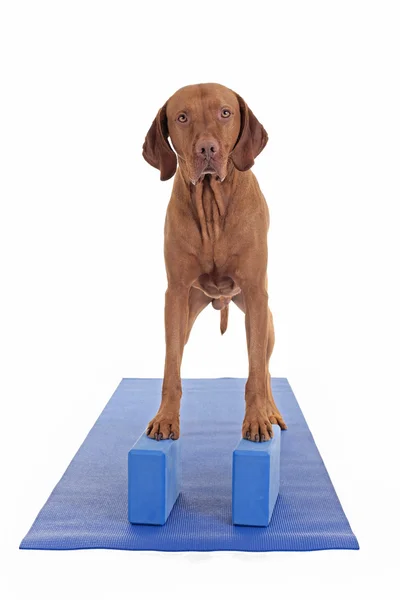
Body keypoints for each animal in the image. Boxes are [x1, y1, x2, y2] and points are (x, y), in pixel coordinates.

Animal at [142, 83, 286, 440]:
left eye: (225, 113)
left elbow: (256, 373)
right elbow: (171, 369)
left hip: (263, 319)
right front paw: (166, 418)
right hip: (189, 310)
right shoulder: (176, 295)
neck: (211, 206)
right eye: (182, 117)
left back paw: (271, 410)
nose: (207, 148)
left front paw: (257, 419)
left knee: (265, 369)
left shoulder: (256, 294)